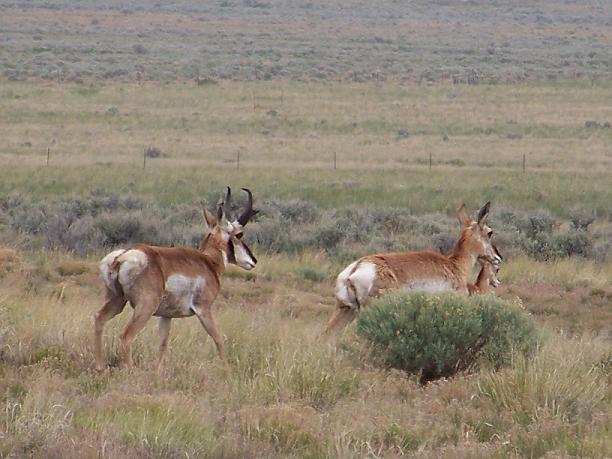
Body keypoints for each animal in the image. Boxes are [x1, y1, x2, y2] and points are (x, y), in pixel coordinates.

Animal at [94, 189, 256, 372]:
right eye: (239, 234)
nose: (254, 261)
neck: (208, 262)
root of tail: (123, 256)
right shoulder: (204, 309)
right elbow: (218, 339)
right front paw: (227, 370)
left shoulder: (166, 316)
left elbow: (163, 345)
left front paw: (158, 372)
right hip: (145, 307)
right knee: (126, 336)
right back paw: (131, 370)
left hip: (117, 301)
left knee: (99, 319)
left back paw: (99, 368)